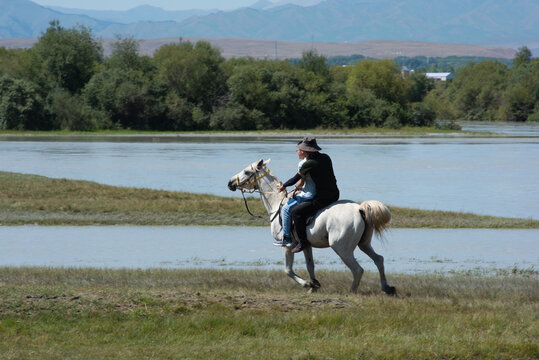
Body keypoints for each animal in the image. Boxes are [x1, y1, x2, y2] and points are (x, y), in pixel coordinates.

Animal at [228, 159, 396, 294]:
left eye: (247, 171)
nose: (230, 183)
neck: (277, 204)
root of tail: (360, 209)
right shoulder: (305, 245)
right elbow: (310, 265)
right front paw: (313, 285)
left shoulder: (288, 245)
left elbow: (288, 270)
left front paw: (307, 284)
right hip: (364, 244)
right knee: (379, 260)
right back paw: (387, 288)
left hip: (342, 249)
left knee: (358, 270)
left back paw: (352, 292)